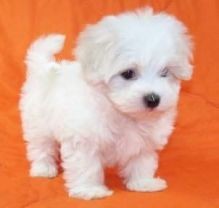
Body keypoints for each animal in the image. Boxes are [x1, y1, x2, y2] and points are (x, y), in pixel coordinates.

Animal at [19, 7, 193, 200]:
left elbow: (142, 161)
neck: (121, 111)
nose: (153, 99)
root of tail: (44, 69)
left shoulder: (144, 141)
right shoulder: (83, 138)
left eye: (165, 72)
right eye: (128, 73)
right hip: (37, 122)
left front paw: (143, 183)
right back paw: (43, 168)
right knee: (40, 145)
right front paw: (90, 190)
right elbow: (86, 164)